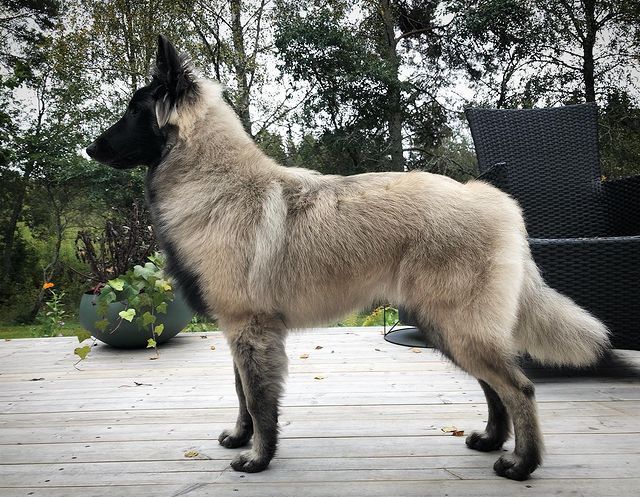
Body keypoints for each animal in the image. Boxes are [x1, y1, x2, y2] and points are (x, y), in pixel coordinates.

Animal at [86, 34, 608, 476]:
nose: (90, 149)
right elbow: (240, 394)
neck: (216, 183)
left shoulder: (250, 329)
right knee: (494, 388)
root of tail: (490, 197)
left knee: (518, 388)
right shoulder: (237, 331)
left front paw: (258, 459)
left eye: (134, 110)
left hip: (458, 327)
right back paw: (492, 441)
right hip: (446, 327)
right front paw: (241, 438)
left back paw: (523, 463)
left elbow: (258, 399)